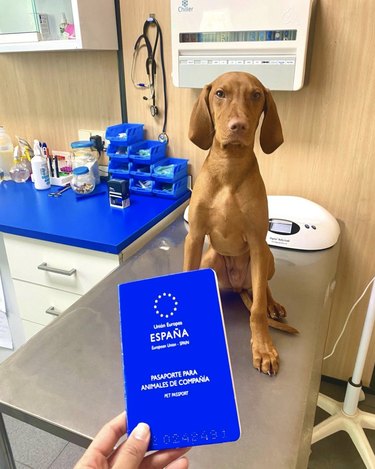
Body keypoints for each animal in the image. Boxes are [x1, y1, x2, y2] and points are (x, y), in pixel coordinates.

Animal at [184, 71, 296, 374]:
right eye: (219, 93)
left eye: (256, 95)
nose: (239, 126)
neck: (229, 167)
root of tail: (237, 286)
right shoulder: (194, 237)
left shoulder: (257, 243)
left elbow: (256, 311)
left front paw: (264, 348)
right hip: (210, 259)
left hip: (266, 258)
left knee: (261, 290)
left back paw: (273, 304)